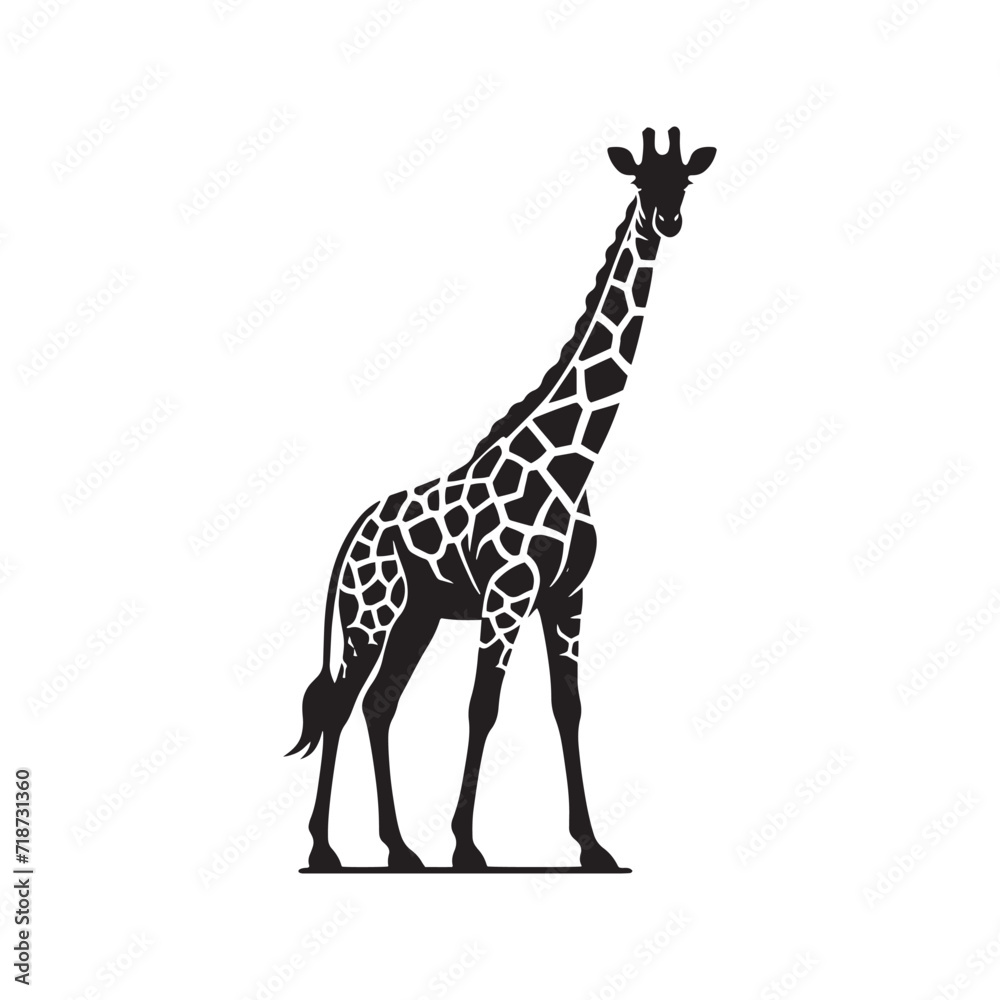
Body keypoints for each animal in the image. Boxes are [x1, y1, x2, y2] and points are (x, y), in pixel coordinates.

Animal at [289, 126, 716, 871]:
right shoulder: (507, 595)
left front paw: (592, 845)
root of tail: (349, 538)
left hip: (417, 618)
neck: (572, 463)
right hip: (371, 615)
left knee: (378, 705)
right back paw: (323, 850)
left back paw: (399, 849)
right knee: (341, 704)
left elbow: (567, 707)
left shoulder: (565, 595)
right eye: (642, 181)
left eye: (684, 181)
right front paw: (466, 846)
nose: (667, 221)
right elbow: (482, 707)